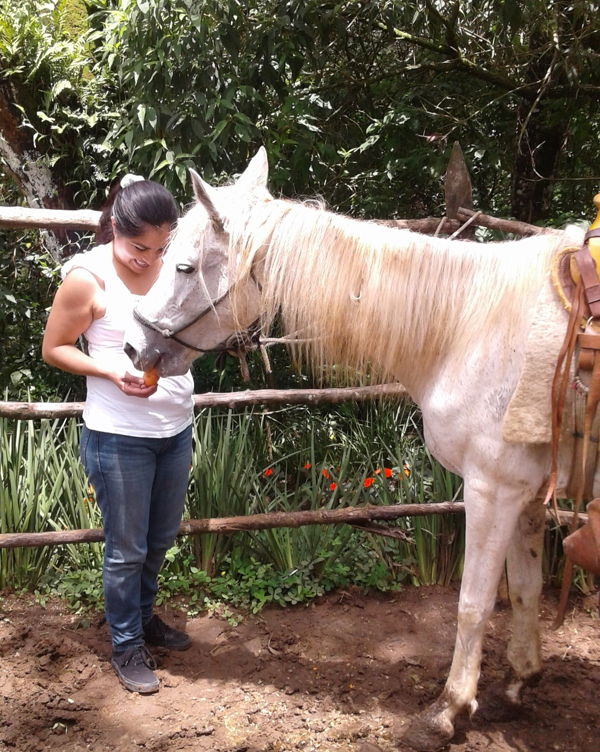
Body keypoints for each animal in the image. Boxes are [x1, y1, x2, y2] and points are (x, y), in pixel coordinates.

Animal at [124, 148, 588, 751]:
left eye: (183, 266)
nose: (133, 346)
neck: (472, 326)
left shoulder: (494, 490)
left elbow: (474, 604)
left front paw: (449, 708)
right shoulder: (528, 497)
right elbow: (528, 590)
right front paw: (519, 682)